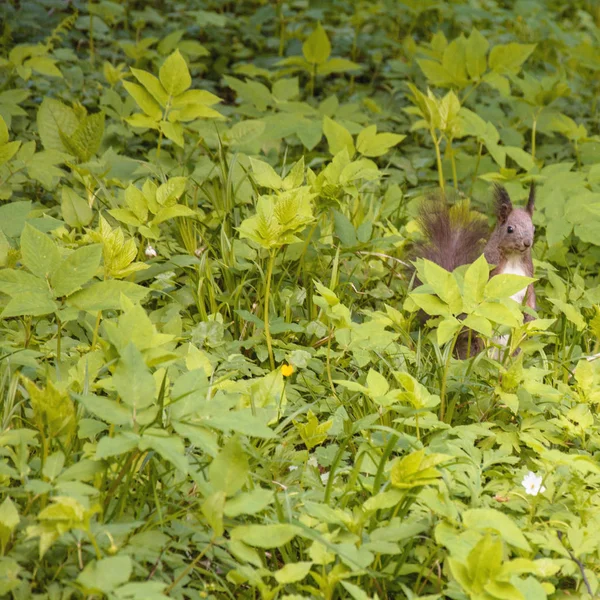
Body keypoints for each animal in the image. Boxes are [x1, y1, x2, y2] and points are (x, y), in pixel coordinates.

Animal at [412, 184, 536, 356]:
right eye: (510, 229)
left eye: (534, 228)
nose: (527, 242)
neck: (514, 259)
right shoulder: (490, 273)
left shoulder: (528, 278)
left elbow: (531, 302)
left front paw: (530, 320)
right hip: (476, 342)